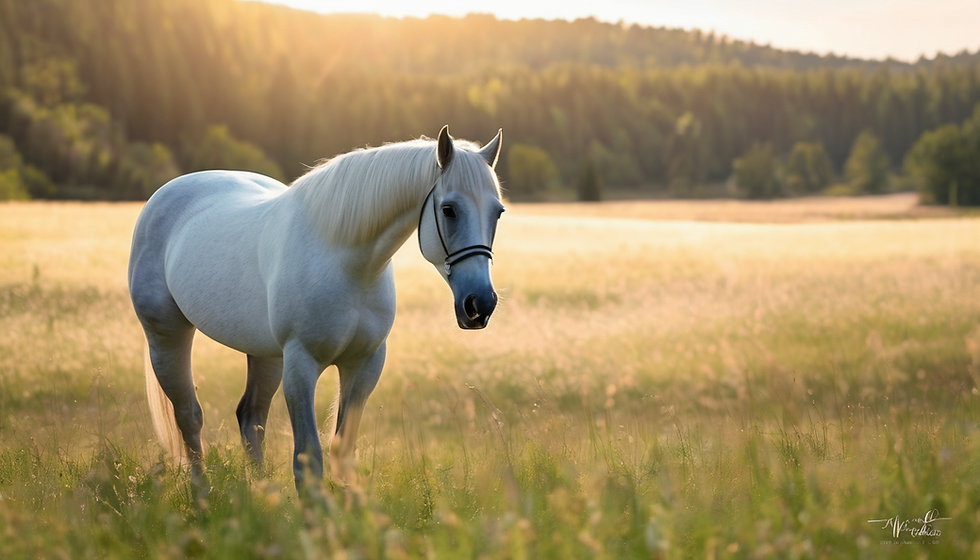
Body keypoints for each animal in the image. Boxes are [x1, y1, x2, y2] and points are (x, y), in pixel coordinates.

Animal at [128, 126, 504, 494]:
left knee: (251, 417)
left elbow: (343, 452)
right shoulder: (301, 364)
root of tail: (165, 195)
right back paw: (202, 495)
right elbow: (307, 460)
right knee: (189, 416)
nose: (480, 305)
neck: (348, 262)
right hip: (167, 337)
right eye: (449, 209)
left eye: (498, 212)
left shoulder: (364, 364)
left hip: (266, 356)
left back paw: (263, 496)